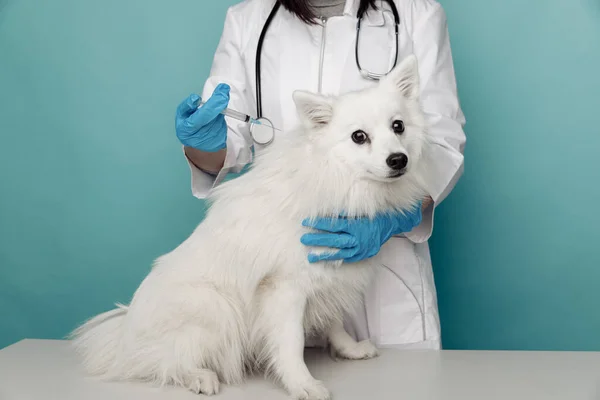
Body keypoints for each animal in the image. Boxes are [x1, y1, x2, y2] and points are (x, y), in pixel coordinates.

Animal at [69, 55, 426, 400]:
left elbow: (335, 322)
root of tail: (124, 335)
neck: (335, 182)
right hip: (214, 308)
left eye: (398, 126)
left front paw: (348, 349)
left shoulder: (329, 276)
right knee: (166, 361)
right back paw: (199, 377)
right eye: (359, 137)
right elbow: (291, 344)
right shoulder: (285, 289)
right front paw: (302, 384)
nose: (398, 160)